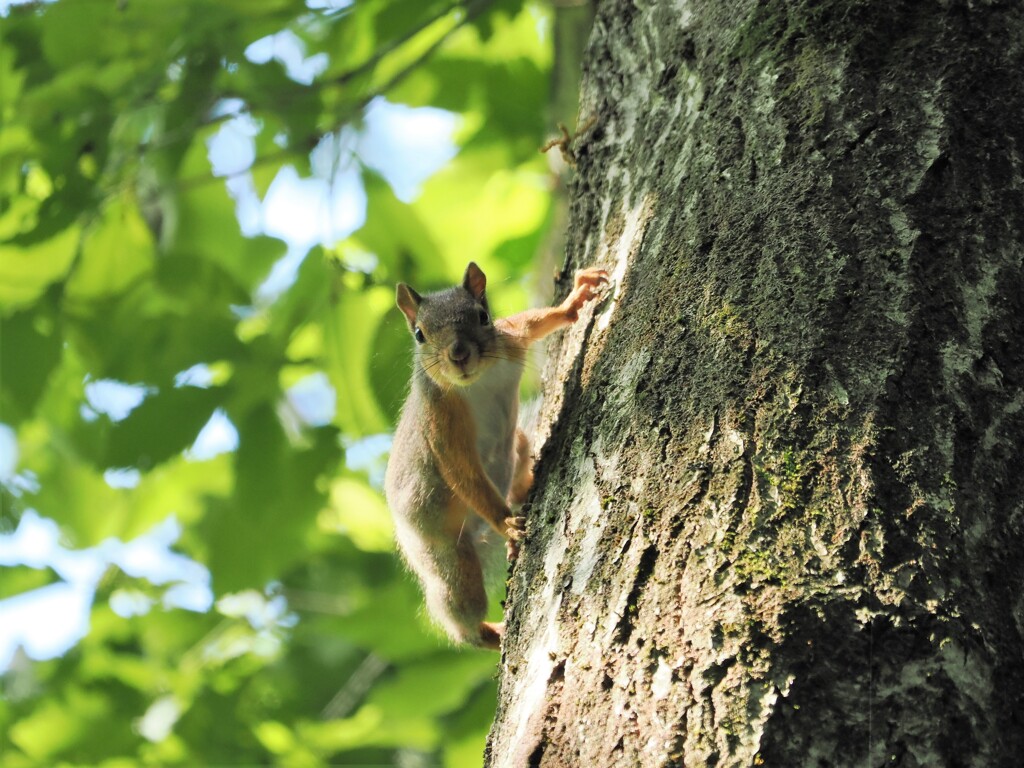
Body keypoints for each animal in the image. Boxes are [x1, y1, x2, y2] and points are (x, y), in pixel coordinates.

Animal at [382, 264, 606, 651]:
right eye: (419, 335)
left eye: (482, 316)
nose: (458, 354)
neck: (477, 382)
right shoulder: (439, 424)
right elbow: (463, 474)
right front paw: (507, 524)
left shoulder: (510, 339)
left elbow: (534, 321)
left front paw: (574, 300)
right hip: (444, 555)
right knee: (458, 606)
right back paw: (488, 633)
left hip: (516, 445)